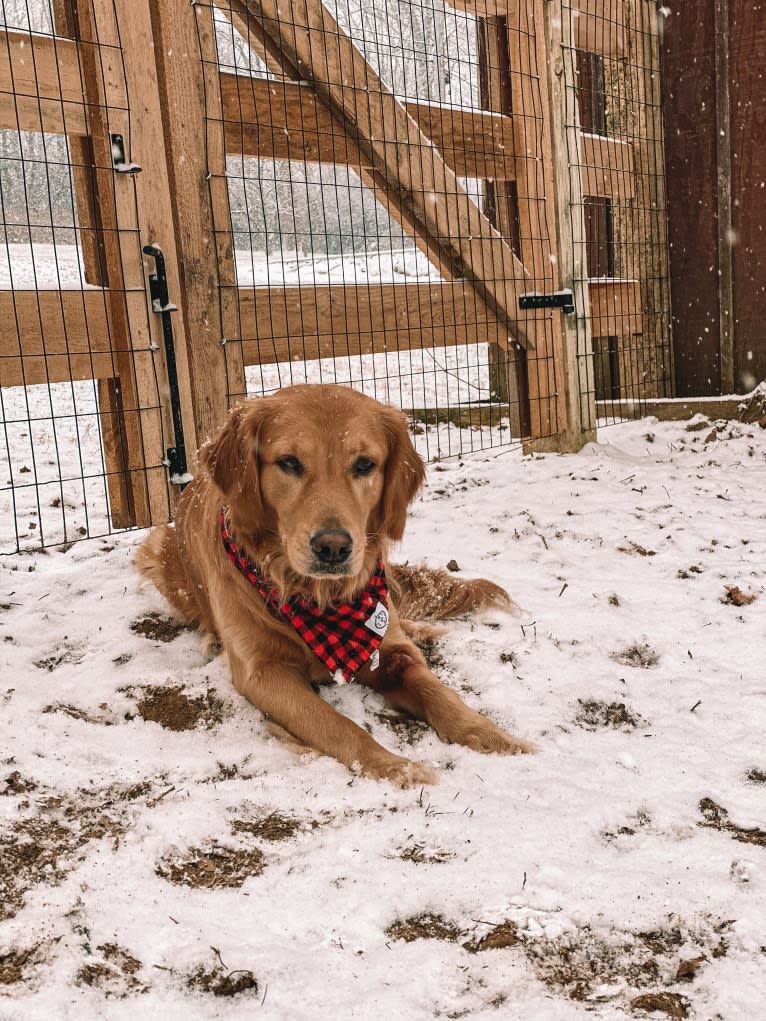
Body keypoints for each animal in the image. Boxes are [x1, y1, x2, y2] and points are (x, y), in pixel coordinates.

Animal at [136, 383, 535, 788]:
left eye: (364, 465)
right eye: (289, 462)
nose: (333, 548)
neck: (316, 599)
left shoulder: (390, 650)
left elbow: (440, 692)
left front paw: (493, 737)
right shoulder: (262, 672)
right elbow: (339, 726)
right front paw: (396, 767)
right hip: (154, 546)